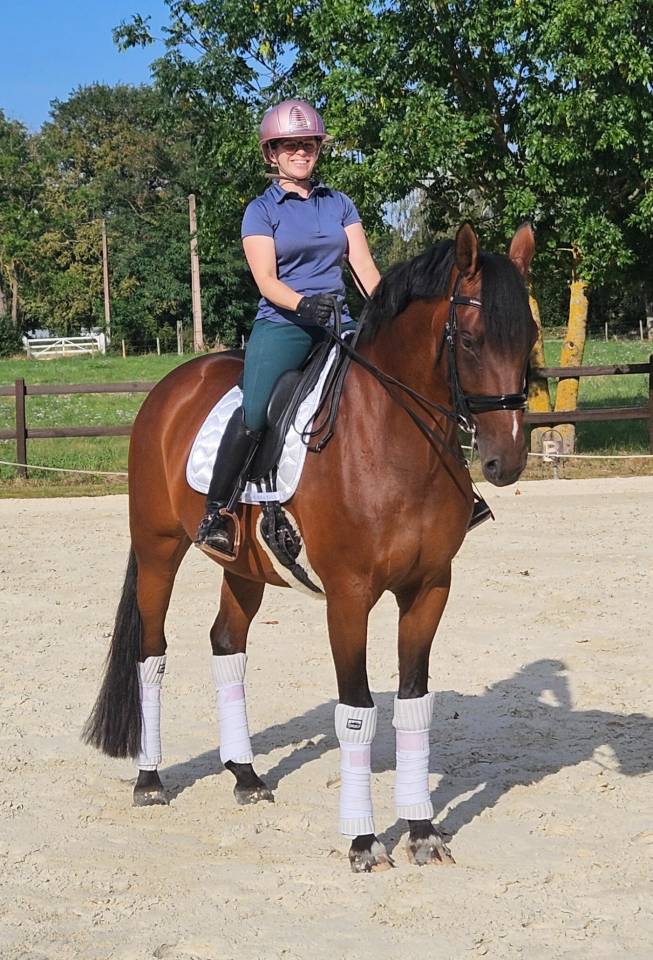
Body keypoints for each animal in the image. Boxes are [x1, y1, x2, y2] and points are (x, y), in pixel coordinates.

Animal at [84, 221, 536, 873]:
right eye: (471, 340)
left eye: (530, 336)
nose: (507, 460)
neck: (392, 441)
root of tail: (169, 387)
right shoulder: (348, 597)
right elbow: (357, 713)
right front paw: (364, 841)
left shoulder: (429, 589)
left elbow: (413, 703)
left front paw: (423, 831)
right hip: (157, 551)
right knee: (151, 654)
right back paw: (150, 781)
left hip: (244, 567)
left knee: (228, 643)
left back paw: (246, 775)